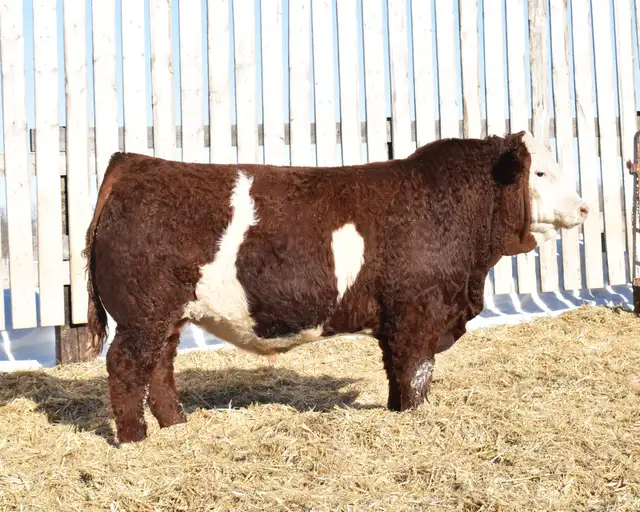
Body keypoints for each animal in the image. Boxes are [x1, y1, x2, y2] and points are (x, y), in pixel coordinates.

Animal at [83, 130, 588, 443]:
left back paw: (176, 425)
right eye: (540, 173)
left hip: (166, 316)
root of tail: (134, 163)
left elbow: (396, 374)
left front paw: (395, 413)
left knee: (160, 368)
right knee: (127, 367)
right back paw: (135, 440)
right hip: (142, 315)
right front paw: (413, 419)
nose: (585, 207)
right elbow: (415, 374)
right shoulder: (418, 314)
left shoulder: (396, 320)